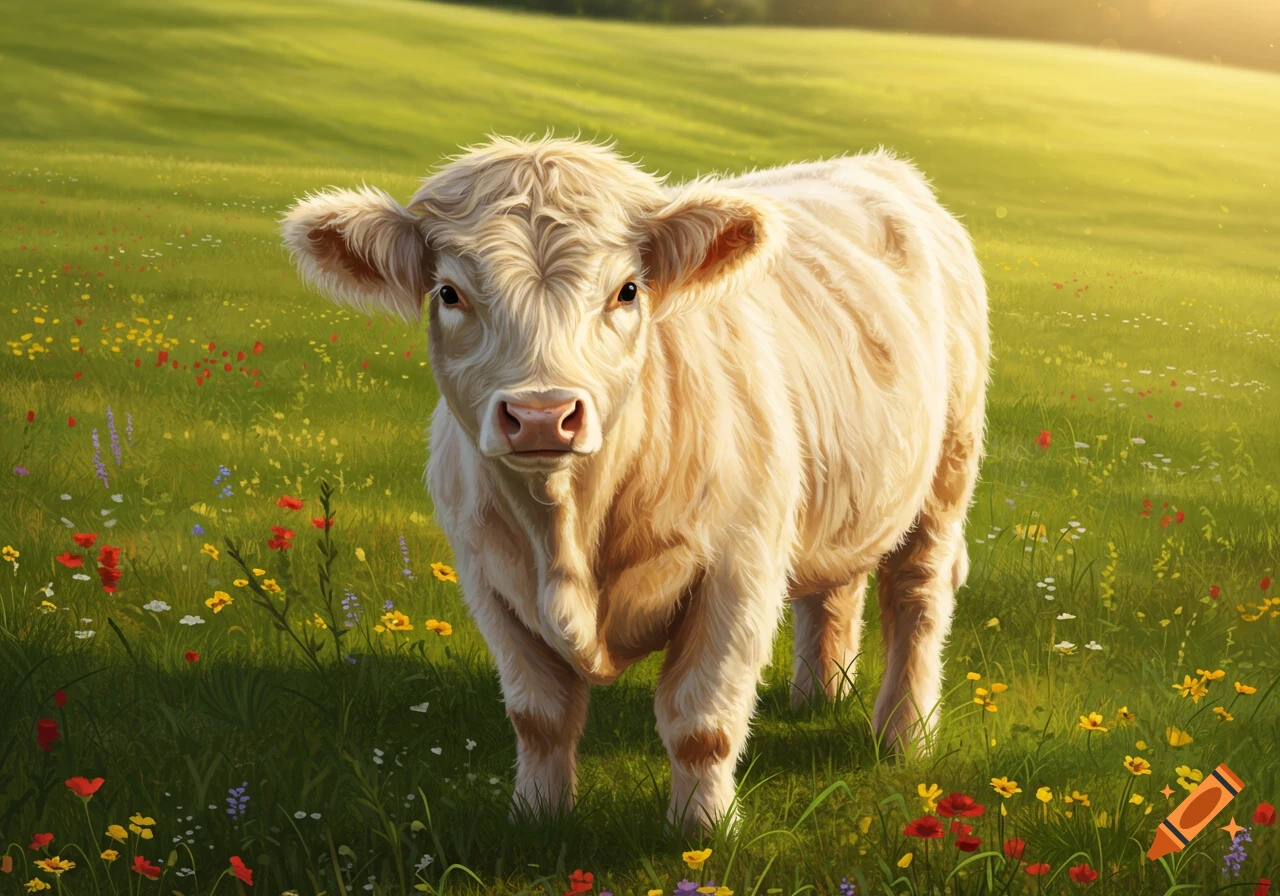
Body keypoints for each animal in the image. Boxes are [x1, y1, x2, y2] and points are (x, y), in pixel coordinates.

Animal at [282, 136, 989, 831]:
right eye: (450, 293)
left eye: (626, 290)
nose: (541, 414)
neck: (568, 529)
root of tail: (873, 164)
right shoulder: (490, 580)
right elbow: (539, 717)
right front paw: (537, 816)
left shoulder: (738, 570)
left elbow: (702, 721)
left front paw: (702, 830)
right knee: (833, 587)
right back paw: (818, 696)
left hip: (946, 473)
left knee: (916, 596)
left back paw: (903, 737)